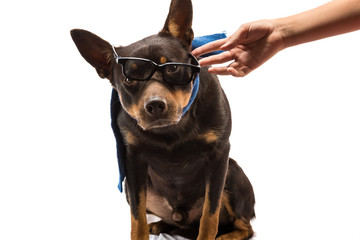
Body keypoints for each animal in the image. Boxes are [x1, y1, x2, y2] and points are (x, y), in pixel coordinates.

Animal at [70, 0, 255, 239]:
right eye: (129, 78)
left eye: (173, 68)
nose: (155, 104)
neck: (172, 130)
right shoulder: (133, 160)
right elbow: (137, 217)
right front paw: (142, 230)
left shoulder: (219, 155)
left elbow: (209, 215)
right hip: (132, 189)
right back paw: (158, 226)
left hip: (231, 171)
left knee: (245, 227)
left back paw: (225, 235)